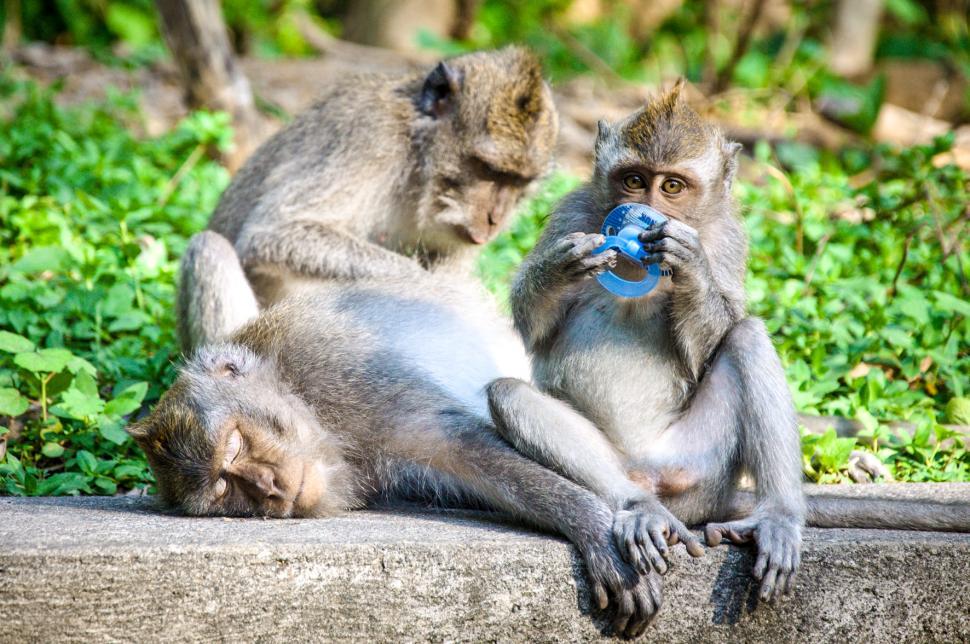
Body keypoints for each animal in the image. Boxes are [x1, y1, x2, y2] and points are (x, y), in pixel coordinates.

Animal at [132, 231, 661, 638]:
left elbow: (458, 444)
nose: (268, 487)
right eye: (224, 488)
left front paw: (591, 525)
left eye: (236, 443)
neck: (304, 400)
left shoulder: (340, 371)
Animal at [177, 46, 558, 355]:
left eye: (519, 182)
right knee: (209, 247)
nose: (495, 219)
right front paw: (441, 290)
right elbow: (274, 233)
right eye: (488, 170)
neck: (417, 158)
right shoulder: (369, 136)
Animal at [496, 83, 970, 604]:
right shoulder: (572, 213)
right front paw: (567, 265)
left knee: (748, 337)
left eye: (672, 187)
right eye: (634, 180)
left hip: (700, 467)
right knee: (509, 396)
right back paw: (640, 508)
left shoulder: (726, 238)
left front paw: (689, 265)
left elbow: (714, 335)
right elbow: (533, 324)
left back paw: (777, 519)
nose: (648, 214)